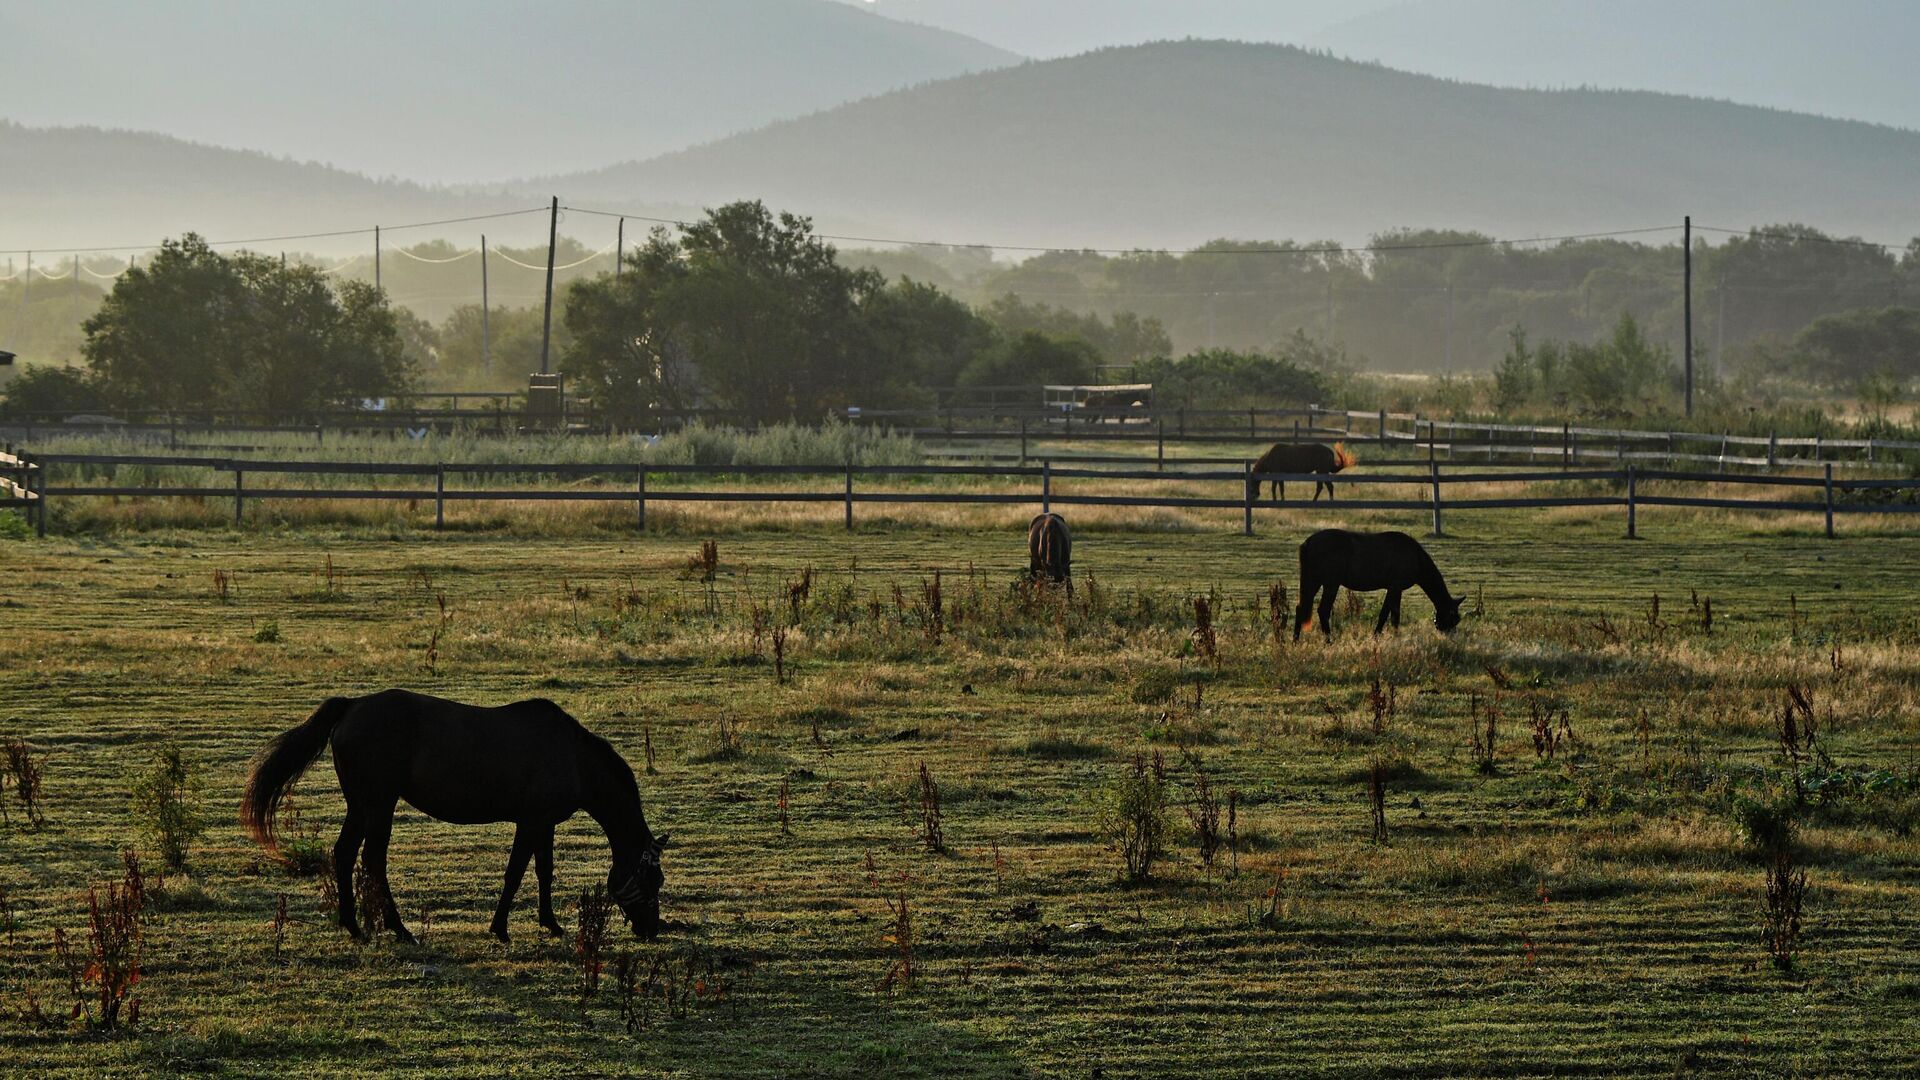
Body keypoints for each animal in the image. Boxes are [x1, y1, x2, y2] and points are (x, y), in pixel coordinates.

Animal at [240, 687, 668, 941]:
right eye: (653, 879)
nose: (651, 930)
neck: (574, 757)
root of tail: (352, 706)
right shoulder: (530, 822)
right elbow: (515, 872)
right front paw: (500, 929)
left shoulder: (543, 823)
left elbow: (543, 870)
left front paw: (550, 923)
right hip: (379, 803)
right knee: (373, 859)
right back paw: (399, 928)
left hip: (361, 805)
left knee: (344, 854)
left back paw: (353, 926)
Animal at [1297, 526, 1459, 638]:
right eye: (1453, 618)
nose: (1449, 637)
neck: (1415, 556)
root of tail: (1309, 542)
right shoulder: (1394, 587)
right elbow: (1385, 614)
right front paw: (1377, 636)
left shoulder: (1397, 589)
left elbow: (1394, 616)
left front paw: (1395, 636)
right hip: (1330, 584)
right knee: (1323, 610)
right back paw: (1329, 641)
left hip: (1313, 582)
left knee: (1301, 608)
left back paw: (1295, 641)